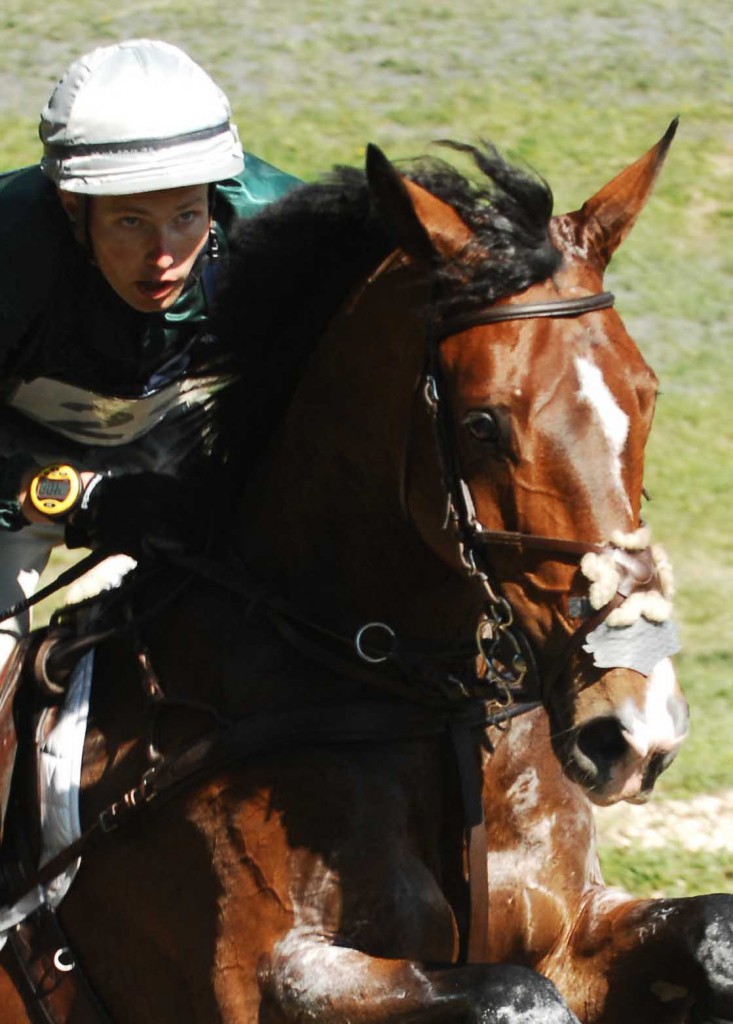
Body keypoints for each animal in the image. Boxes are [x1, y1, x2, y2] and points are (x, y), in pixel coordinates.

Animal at [0, 117, 728, 1015]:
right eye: (482, 424)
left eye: (646, 394)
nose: (633, 730)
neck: (413, 702)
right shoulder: (272, 977)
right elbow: (514, 994)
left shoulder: (575, 925)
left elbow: (711, 931)